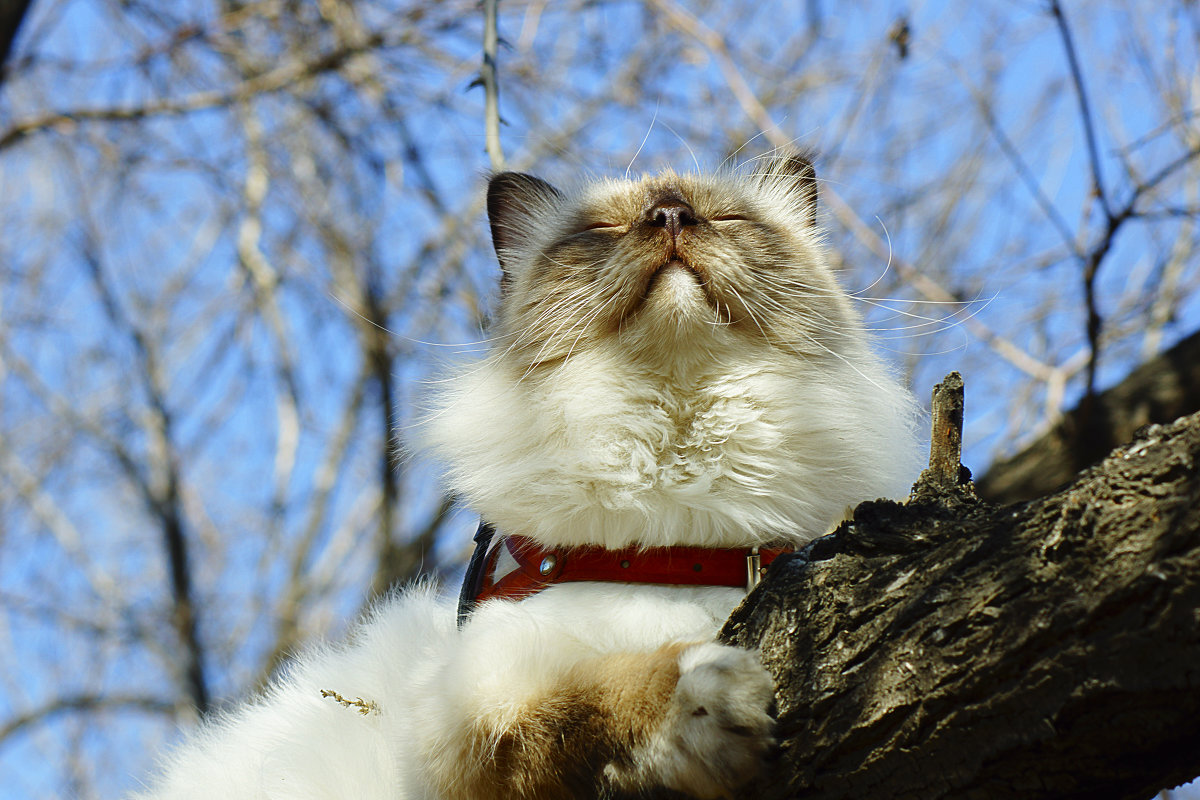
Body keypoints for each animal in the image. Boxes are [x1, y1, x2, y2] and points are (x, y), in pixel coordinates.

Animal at [133, 153, 916, 800]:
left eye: (724, 218)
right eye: (602, 229)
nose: (669, 217)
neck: (678, 536)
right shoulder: (473, 723)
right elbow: (591, 701)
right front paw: (703, 699)